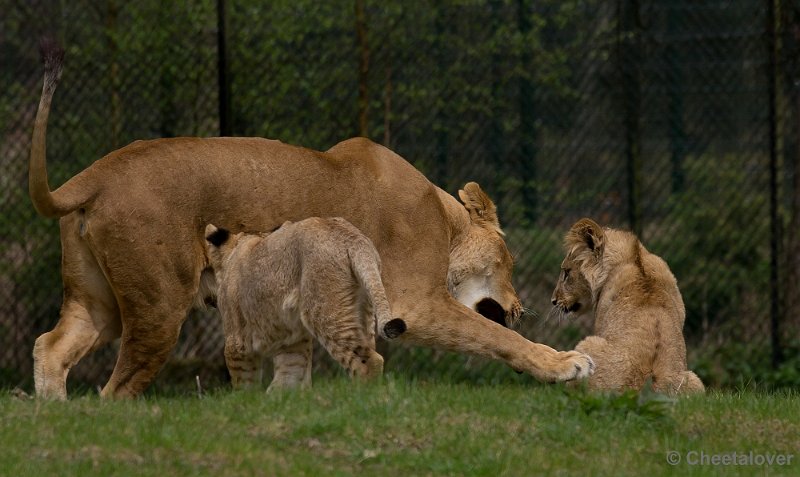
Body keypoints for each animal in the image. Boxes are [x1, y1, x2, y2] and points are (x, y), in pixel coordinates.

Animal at [29, 41, 592, 398]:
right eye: (508, 262)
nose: (522, 306)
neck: (444, 218)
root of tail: (96, 172)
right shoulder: (414, 305)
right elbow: (499, 339)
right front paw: (565, 364)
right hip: (158, 306)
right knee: (115, 390)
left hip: (100, 301)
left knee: (51, 347)